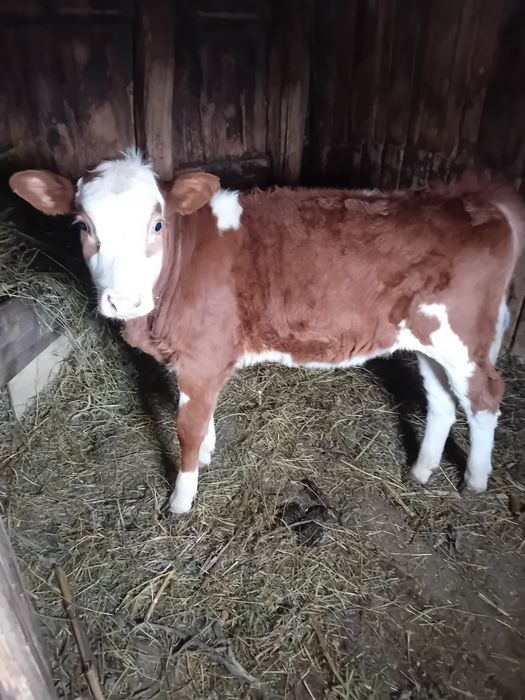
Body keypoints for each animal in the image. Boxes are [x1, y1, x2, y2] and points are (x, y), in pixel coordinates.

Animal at [9, 149, 524, 515]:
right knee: (441, 400)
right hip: (428, 339)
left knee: (485, 397)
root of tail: (474, 198)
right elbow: (204, 417)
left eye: (157, 224)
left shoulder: (202, 356)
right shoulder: (201, 359)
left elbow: (187, 427)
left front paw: (181, 500)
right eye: (83, 226)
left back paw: (475, 481)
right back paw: (420, 470)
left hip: (466, 337)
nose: (124, 300)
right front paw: (209, 456)